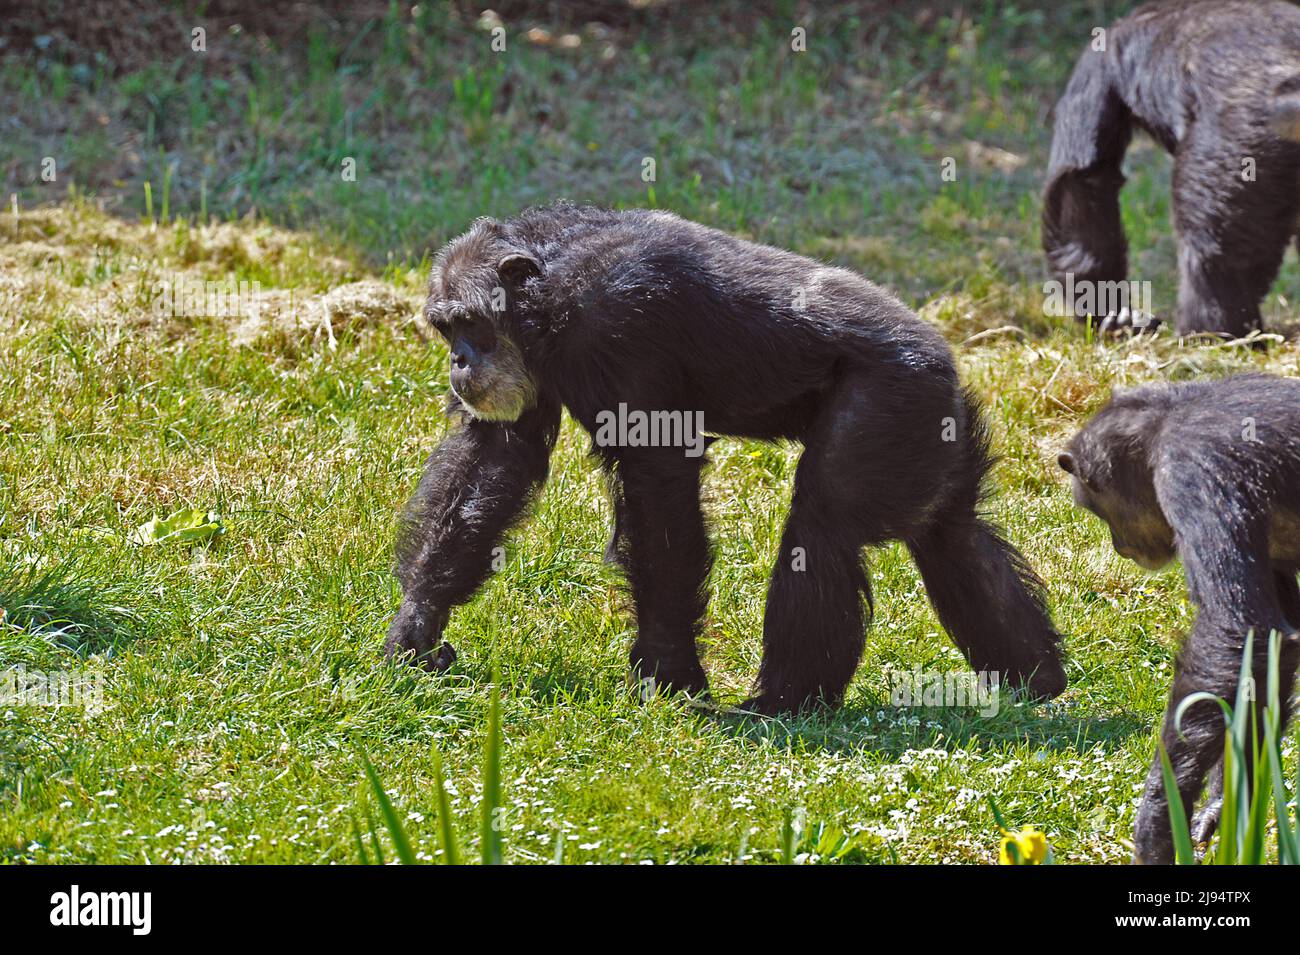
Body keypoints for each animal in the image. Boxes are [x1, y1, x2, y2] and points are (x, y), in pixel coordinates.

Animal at [382, 207, 1066, 717]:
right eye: (445, 328)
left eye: (472, 324)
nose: (459, 360)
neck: (548, 297)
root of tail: (944, 355)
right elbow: (496, 459)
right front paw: (416, 629)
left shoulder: (624, 330)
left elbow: (659, 490)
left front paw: (669, 672)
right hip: (935, 430)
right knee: (953, 535)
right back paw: (1036, 677)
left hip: (890, 402)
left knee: (823, 524)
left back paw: (784, 701)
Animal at [1040, 0, 1300, 337]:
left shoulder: (1099, 62)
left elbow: (1083, 178)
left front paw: (1109, 313)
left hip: (1239, 146)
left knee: (1209, 246)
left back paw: (1208, 332)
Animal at [1060, 374, 1294, 867]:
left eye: (1099, 508)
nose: (1118, 544)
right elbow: (1268, 649)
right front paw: (1225, 804)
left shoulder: (1194, 472)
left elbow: (1234, 629)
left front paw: (1159, 812)